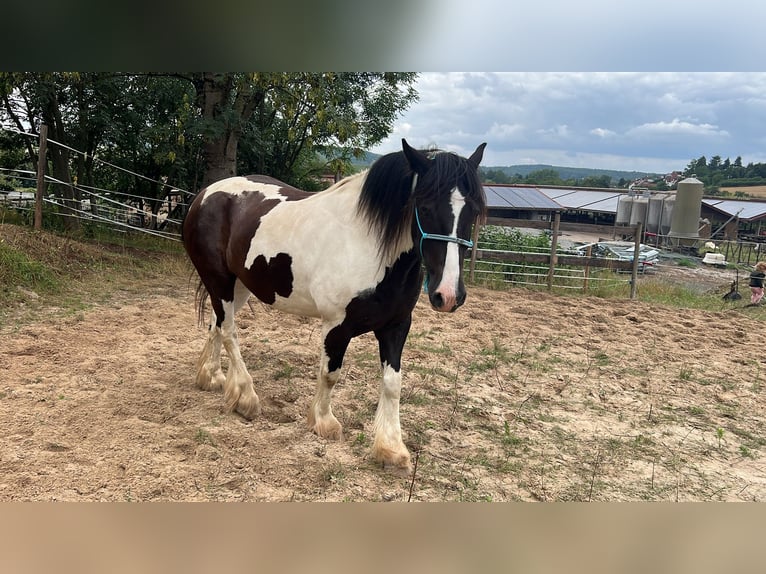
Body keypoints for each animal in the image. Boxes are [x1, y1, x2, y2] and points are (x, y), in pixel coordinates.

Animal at [182, 139, 486, 473]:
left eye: (473, 211)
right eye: (426, 206)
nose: (448, 295)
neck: (367, 246)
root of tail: (205, 195)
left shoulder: (396, 325)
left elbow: (393, 383)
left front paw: (391, 448)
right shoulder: (336, 326)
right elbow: (330, 374)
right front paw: (324, 422)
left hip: (238, 286)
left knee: (217, 325)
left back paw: (211, 377)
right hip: (219, 280)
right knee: (229, 332)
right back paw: (246, 397)